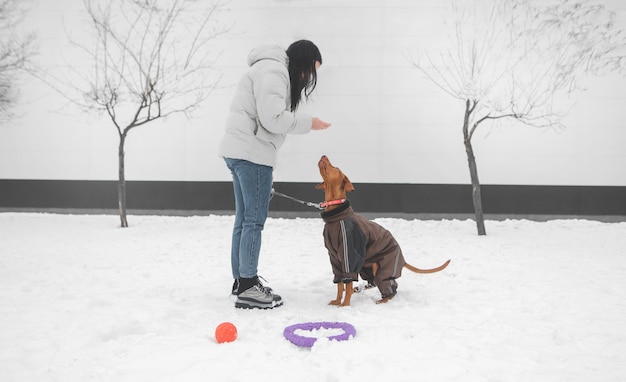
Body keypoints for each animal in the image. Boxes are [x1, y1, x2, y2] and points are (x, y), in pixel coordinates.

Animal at [316, 154, 448, 306]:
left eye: (336, 167)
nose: (323, 156)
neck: (336, 215)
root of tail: (403, 258)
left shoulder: (350, 257)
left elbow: (347, 283)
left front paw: (345, 305)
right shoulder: (335, 258)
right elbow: (339, 284)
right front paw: (337, 301)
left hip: (381, 268)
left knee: (390, 287)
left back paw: (382, 299)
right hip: (366, 265)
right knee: (375, 283)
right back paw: (359, 289)